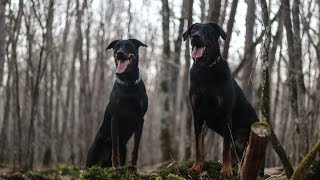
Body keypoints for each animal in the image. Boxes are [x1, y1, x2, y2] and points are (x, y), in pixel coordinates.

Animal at [86, 38, 149, 171]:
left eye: (128, 45)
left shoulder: (140, 119)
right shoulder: (115, 118)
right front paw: (116, 167)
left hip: (124, 147)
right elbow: (115, 147)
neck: (128, 83)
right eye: (117, 47)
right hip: (93, 154)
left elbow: (136, 147)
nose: (119, 53)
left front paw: (133, 167)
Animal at [182, 22, 262, 176]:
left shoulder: (226, 116)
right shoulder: (197, 115)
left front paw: (226, 170)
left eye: (207, 30)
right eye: (193, 30)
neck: (206, 69)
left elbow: (224, 148)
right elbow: (199, 146)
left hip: (247, 136)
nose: (195, 36)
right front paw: (196, 166)